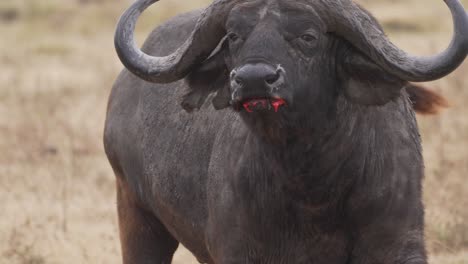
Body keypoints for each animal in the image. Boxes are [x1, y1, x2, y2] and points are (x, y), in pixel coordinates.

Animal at [105, 0, 468, 262]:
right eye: (234, 36)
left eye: (308, 36)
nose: (252, 79)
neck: (313, 185)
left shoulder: (398, 243)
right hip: (136, 217)